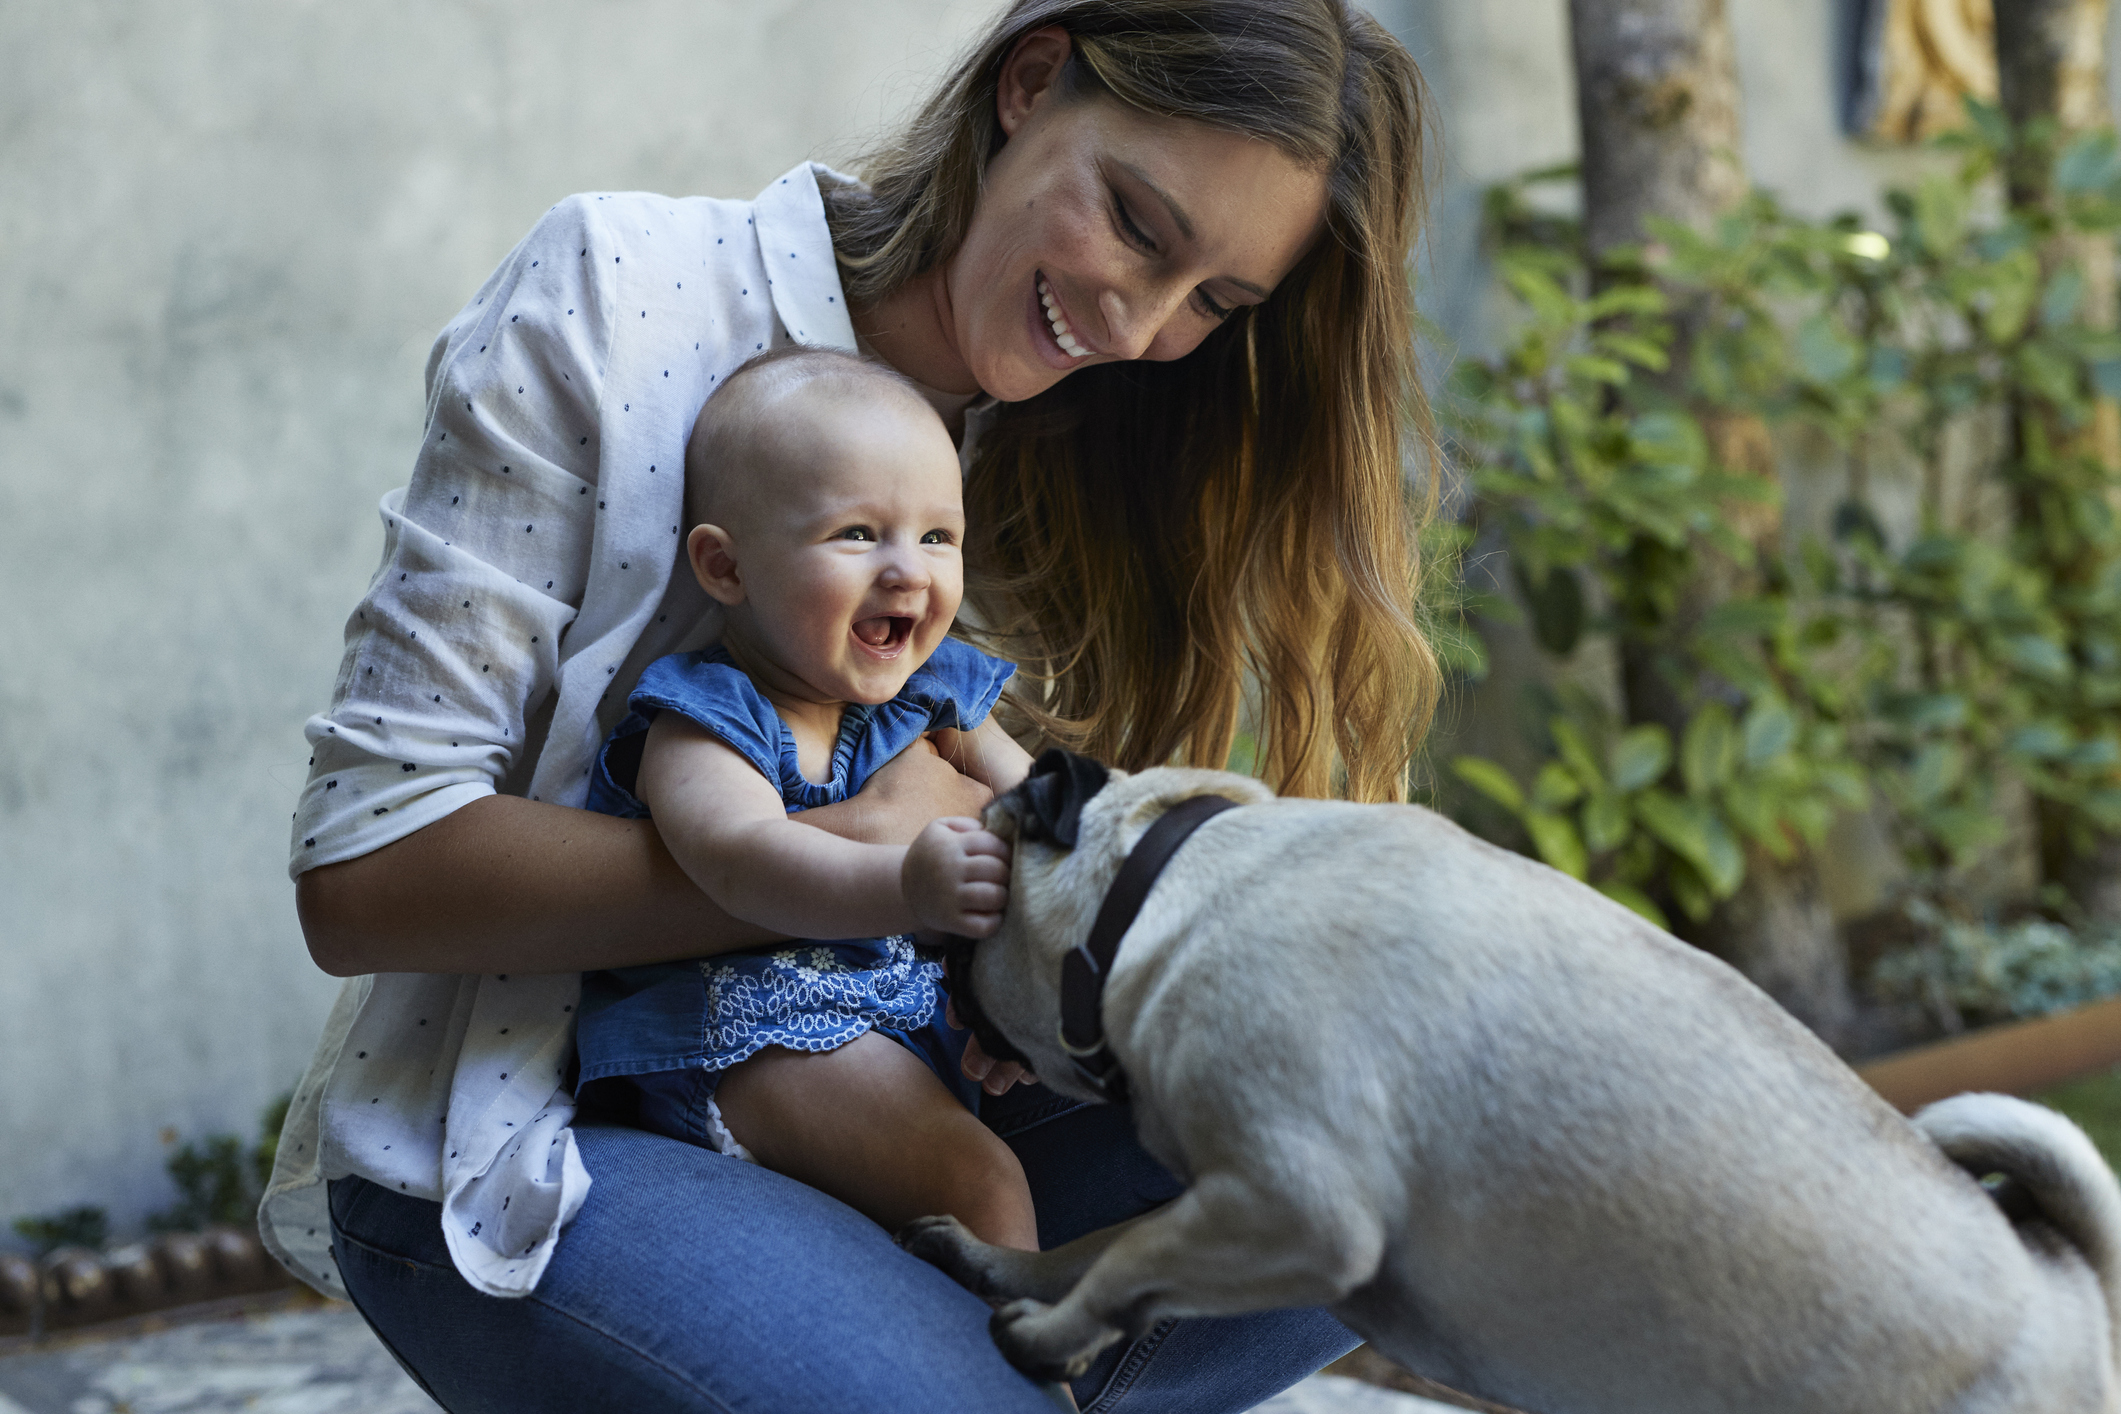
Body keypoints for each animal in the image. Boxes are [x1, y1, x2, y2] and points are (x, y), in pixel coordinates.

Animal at [899, 758, 2121, 1414]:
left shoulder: (1287, 1204)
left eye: (978, 880)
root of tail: (2063, 1282)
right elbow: (1092, 1248)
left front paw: (1047, 1342)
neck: (1167, 887)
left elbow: (1126, 1262)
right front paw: (1001, 1270)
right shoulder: (1219, 1198)